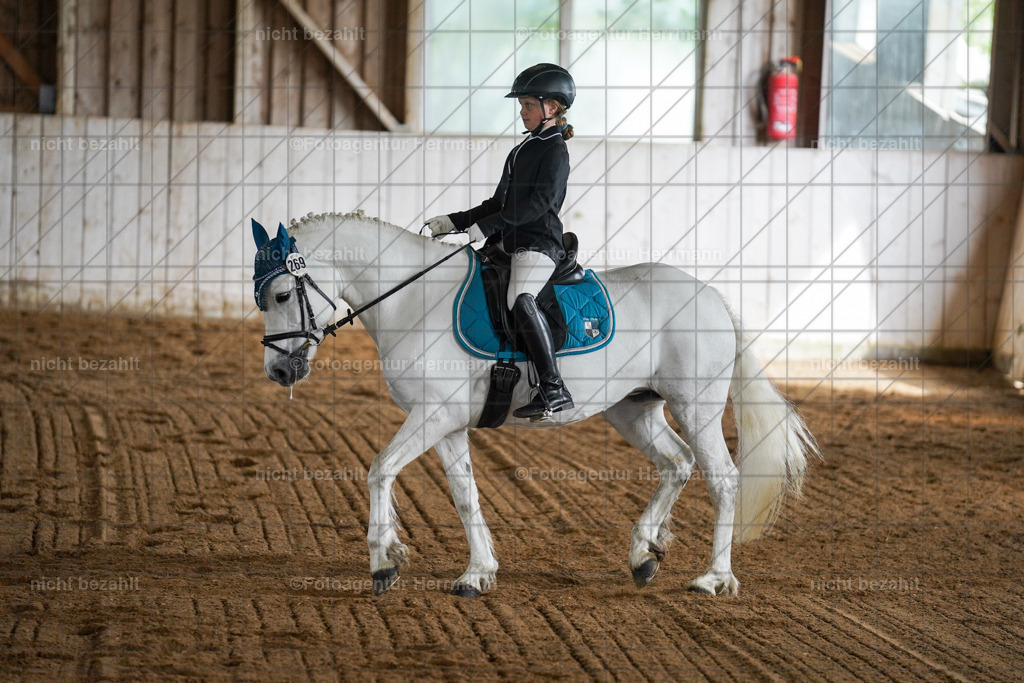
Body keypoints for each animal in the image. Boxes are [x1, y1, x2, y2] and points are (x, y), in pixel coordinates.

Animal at [251, 209, 819, 598]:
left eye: (279, 296)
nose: (279, 372)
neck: (414, 300)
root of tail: (711, 295)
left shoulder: (433, 415)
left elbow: (379, 469)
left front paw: (384, 563)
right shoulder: (447, 423)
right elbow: (465, 496)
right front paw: (477, 574)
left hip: (696, 406)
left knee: (722, 478)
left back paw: (714, 578)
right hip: (633, 408)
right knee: (676, 463)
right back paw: (643, 555)